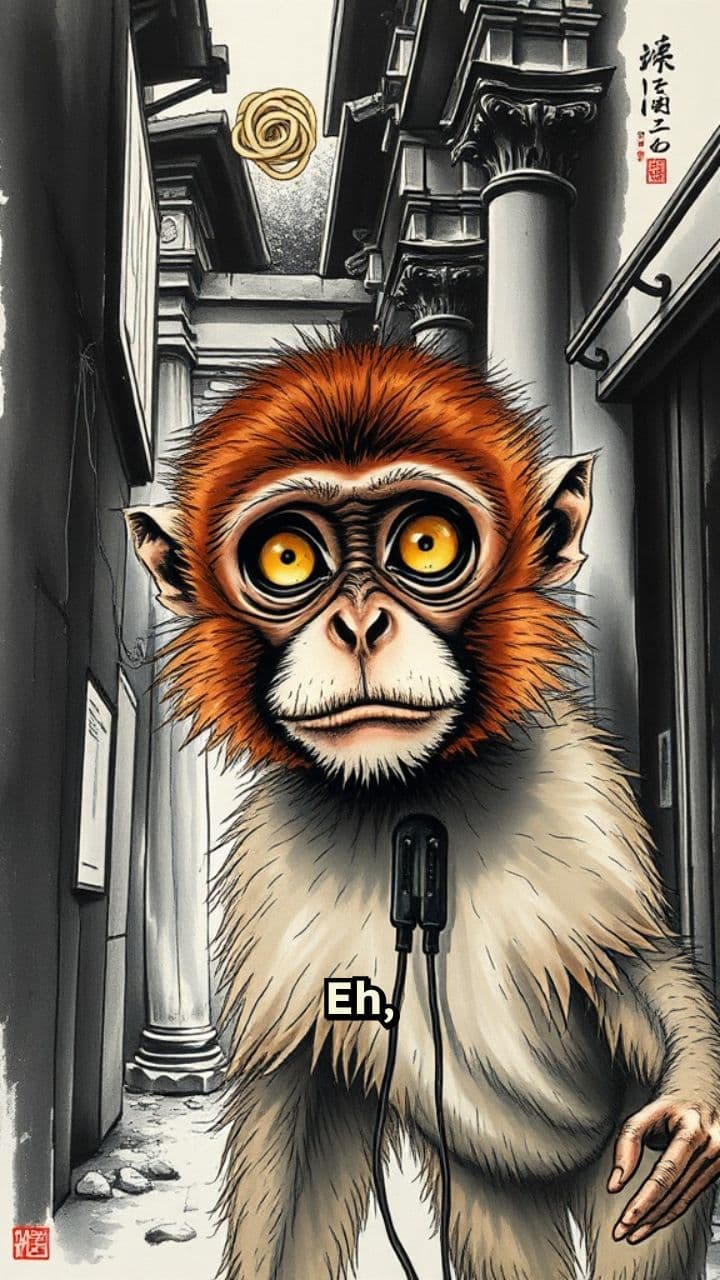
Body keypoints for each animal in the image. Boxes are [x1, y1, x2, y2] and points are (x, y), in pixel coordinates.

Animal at [127, 340, 720, 1280]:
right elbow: (296, 1130)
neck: (409, 794)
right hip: (495, 1181)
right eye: (288, 558)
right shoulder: (273, 872)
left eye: (427, 543)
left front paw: (694, 1101)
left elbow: (636, 969)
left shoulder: (581, 796)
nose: (361, 625)